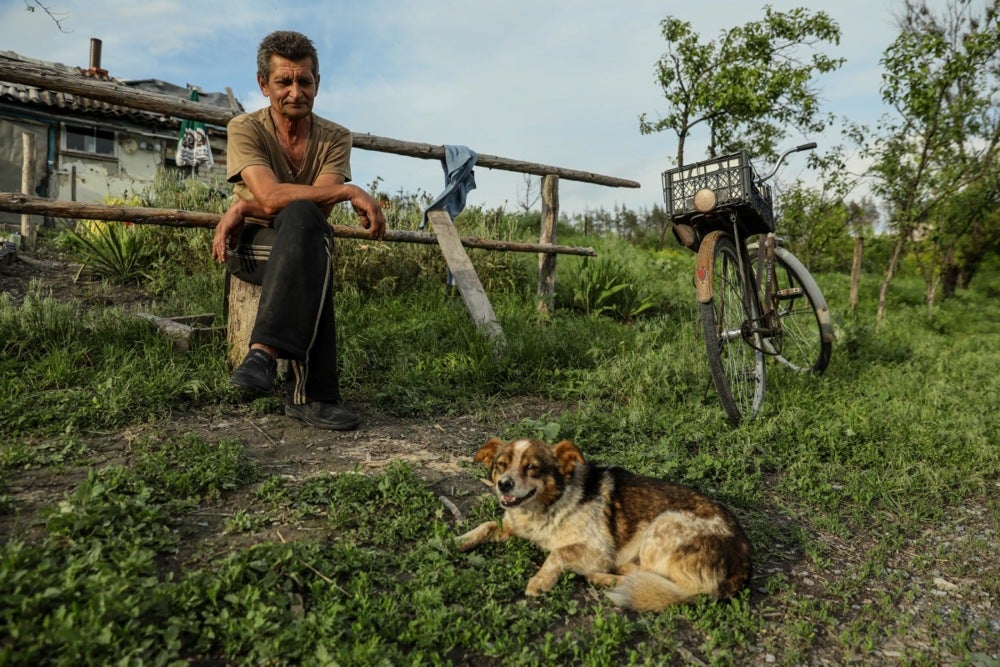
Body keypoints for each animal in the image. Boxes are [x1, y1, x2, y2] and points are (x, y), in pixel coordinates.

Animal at [454, 438, 752, 612]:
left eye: (531, 468)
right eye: (501, 465)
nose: (503, 484)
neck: (551, 503)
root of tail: (744, 557)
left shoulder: (599, 550)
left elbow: (558, 552)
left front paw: (540, 580)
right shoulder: (511, 526)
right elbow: (488, 524)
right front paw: (458, 540)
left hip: (663, 525)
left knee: (682, 589)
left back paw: (604, 576)